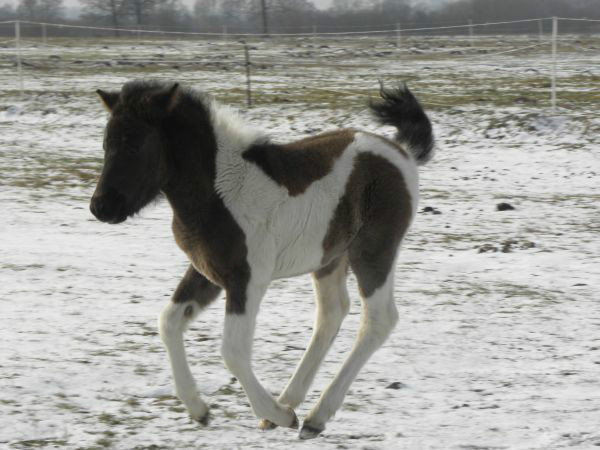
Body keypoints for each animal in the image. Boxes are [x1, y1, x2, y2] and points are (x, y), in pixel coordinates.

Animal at [89, 81, 434, 440]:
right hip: (329, 258)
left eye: (134, 145)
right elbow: (168, 322)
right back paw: (291, 400)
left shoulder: (248, 279)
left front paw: (278, 415)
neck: (219, 193)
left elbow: (233, 351)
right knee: (331, 314)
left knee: (379, 320)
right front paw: (199, 409)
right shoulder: (208, 272)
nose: (100, 206)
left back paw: (313, 416)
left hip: (374, 250)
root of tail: (400, 151)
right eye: (106, 143)